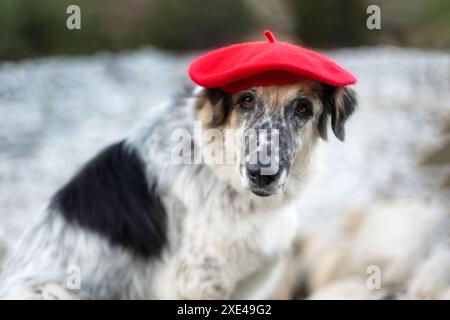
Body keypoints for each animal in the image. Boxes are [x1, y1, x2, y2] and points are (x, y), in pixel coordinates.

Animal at [0, 80, 356, 300]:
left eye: (302, 108)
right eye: (246, 100)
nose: (262, 174)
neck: (216, 167)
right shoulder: (198, 282)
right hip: (52, 290)